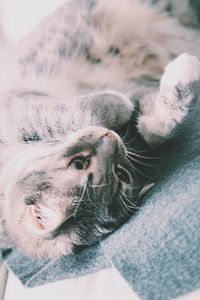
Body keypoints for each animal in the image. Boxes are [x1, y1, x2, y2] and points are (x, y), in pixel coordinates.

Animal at [0, 0, 199, 258]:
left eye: (78, 163)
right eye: (120, 173)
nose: (110, 136)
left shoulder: (22, 106)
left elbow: (87, 109)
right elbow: (153, 126)